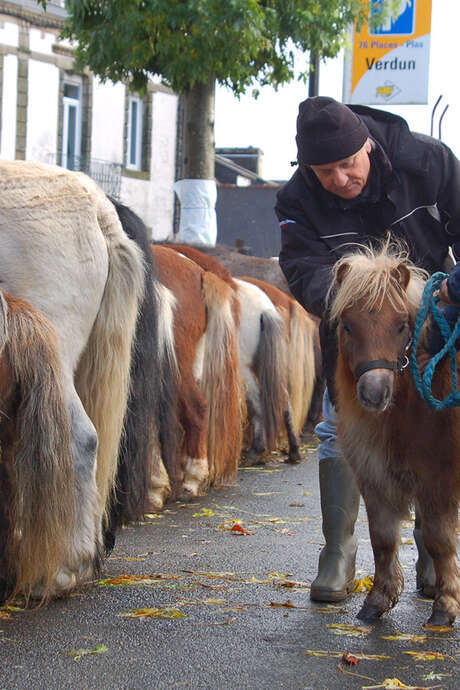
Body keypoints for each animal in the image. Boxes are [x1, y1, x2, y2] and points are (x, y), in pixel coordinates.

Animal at [330, 243, 460, 627]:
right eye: (348, 325)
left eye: (402, 325)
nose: (375, 392)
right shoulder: (374, 478)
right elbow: (383, 539)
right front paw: (379, 599)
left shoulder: (437, 483)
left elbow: (439, 540)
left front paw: (445, 606)